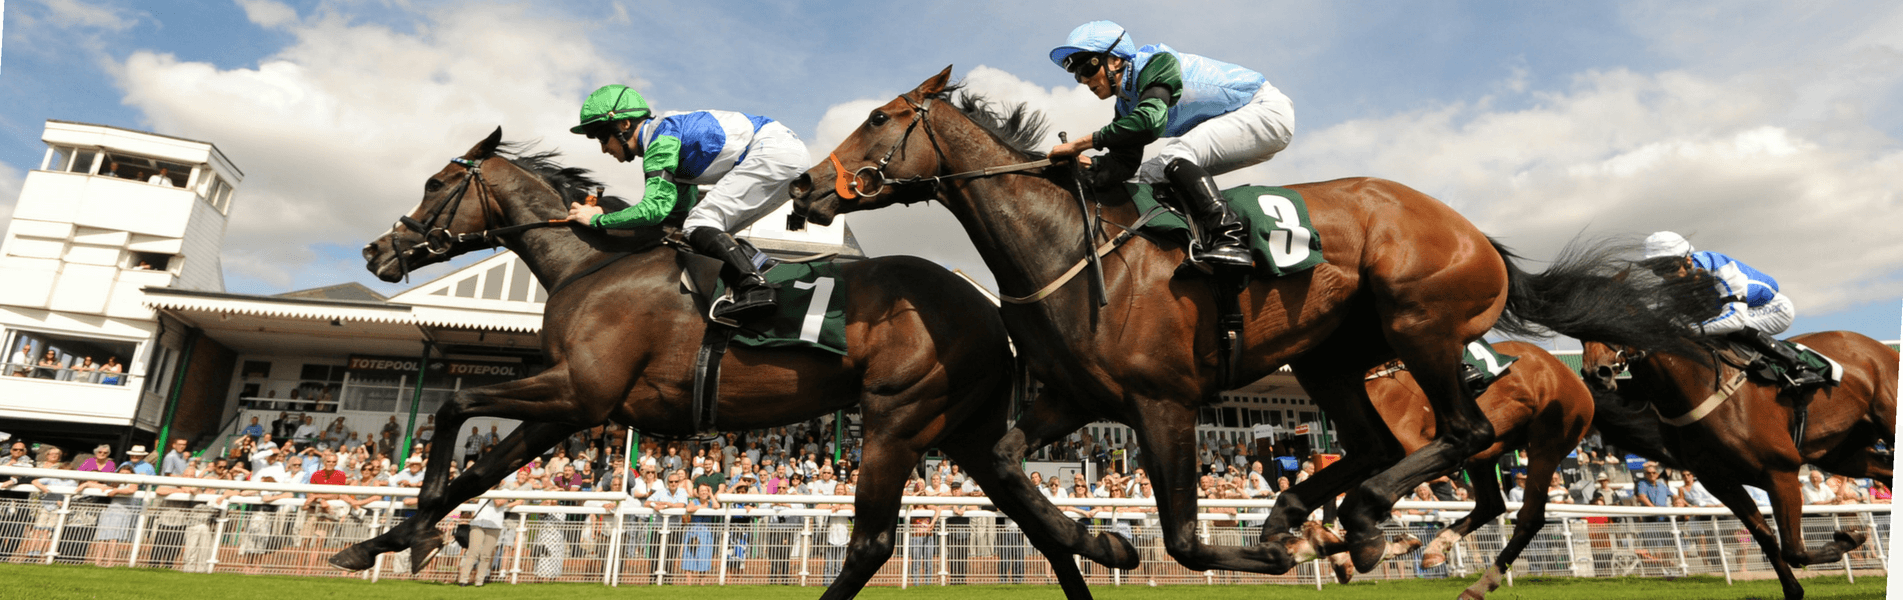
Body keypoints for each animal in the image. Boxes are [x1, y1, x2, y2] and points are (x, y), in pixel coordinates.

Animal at [339, 127, 1138, 599]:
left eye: (437, 183)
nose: (376, 251)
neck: (589, 265)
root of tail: (989, 309)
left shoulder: (577, 393)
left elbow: (452, 407)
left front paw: (412, 534)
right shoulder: (568, 407)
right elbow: (477, 470)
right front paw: (387, 539)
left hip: (898, 417)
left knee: (874, 542)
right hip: (963, 430)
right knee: (1036, 521)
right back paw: (1099, 542)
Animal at [788, 66, 1709, 574]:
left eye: (878, 118)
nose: (804, 185)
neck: (1067, 248)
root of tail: (1479, 238)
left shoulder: (1163, 403)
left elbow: (1185, 539)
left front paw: (1263, 553)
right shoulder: (1070, 400)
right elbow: (1009, 466)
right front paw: (1101, 542)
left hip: (1421, 325)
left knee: (1459, 432)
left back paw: (1357, 523)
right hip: (1331, 358)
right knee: (1371, 444)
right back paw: (1304, 515)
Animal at [1581, 331, 1896, 600]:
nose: (1595, 373)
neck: (1696, 386)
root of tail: (1880, 348)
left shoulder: (1779, 472)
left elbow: (1794, 549)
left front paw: (1848, 537)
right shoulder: (1720, 483)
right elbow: (1768, 538)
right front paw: (1795, 588)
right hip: (1840, 453)